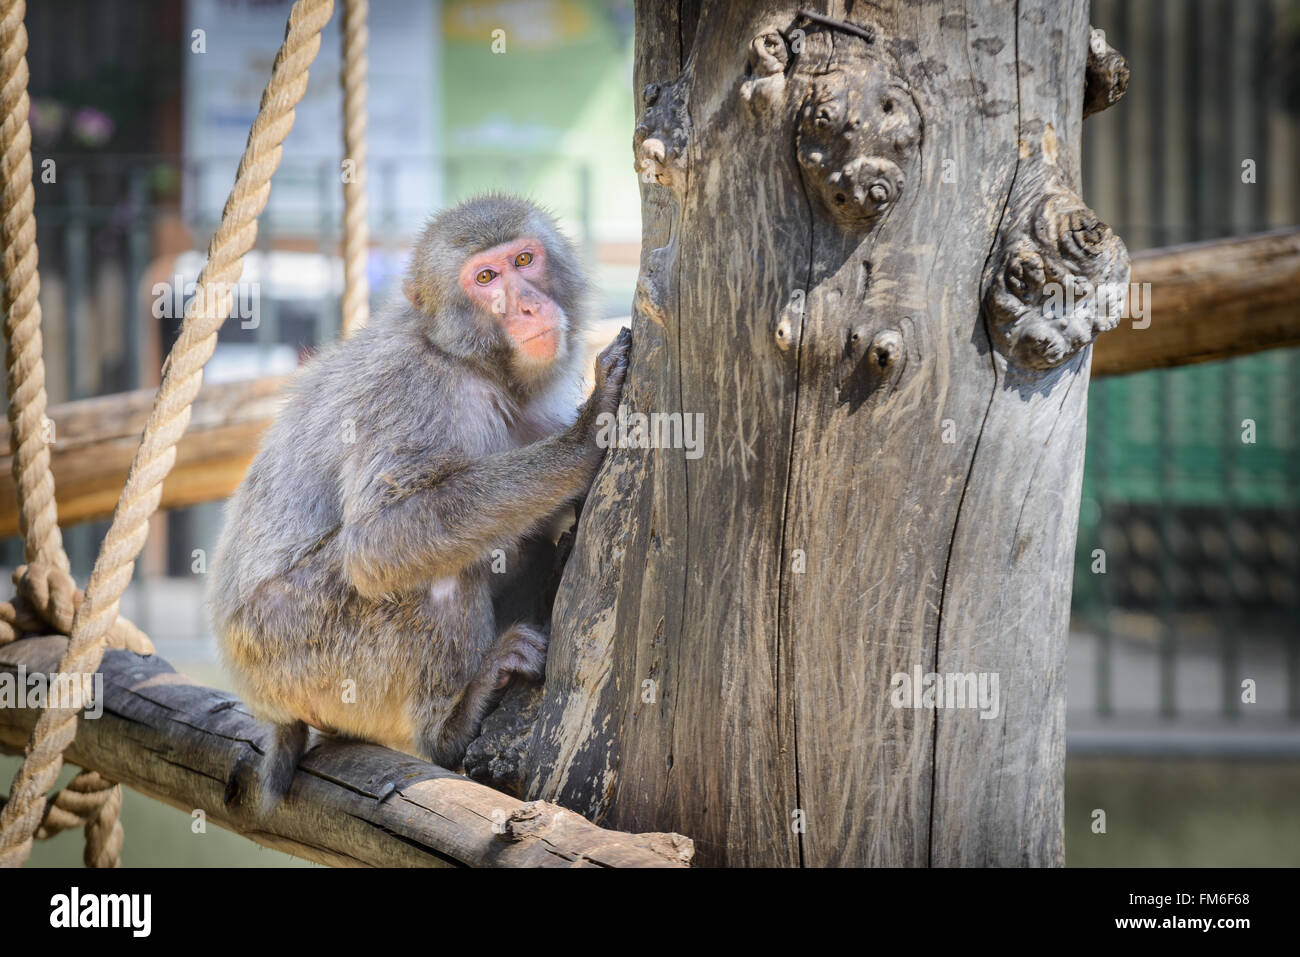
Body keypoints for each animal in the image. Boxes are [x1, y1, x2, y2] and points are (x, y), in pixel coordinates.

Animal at [208, 195, 629, 816]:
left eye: (524, 260)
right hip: (292, 652)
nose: (527, 305)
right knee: (432, 576)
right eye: (485, 279)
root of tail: (267, 704)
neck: (470, 362)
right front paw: (585, 438)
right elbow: (380, 540)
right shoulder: (411, 388)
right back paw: (450, 725)